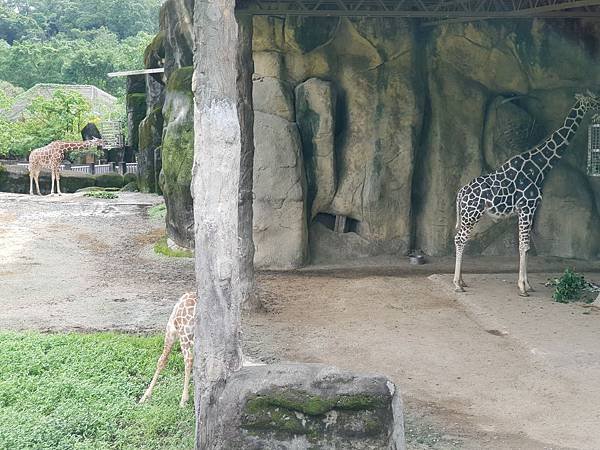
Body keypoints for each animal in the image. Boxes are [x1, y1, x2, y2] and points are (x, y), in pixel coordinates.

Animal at [454, 92, 600, 298]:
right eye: (591, 100)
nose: (599, 105)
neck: (538, 166)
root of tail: (459, 194)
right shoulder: (527, 206)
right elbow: (524, 245)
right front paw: (523, 287)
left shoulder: (527, 209)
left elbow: (526, 246)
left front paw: (528, 285)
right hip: (471, 214)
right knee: (459, 239)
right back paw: (456, 284)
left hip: (469, 215)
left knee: (462, 239)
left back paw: (462, 281)